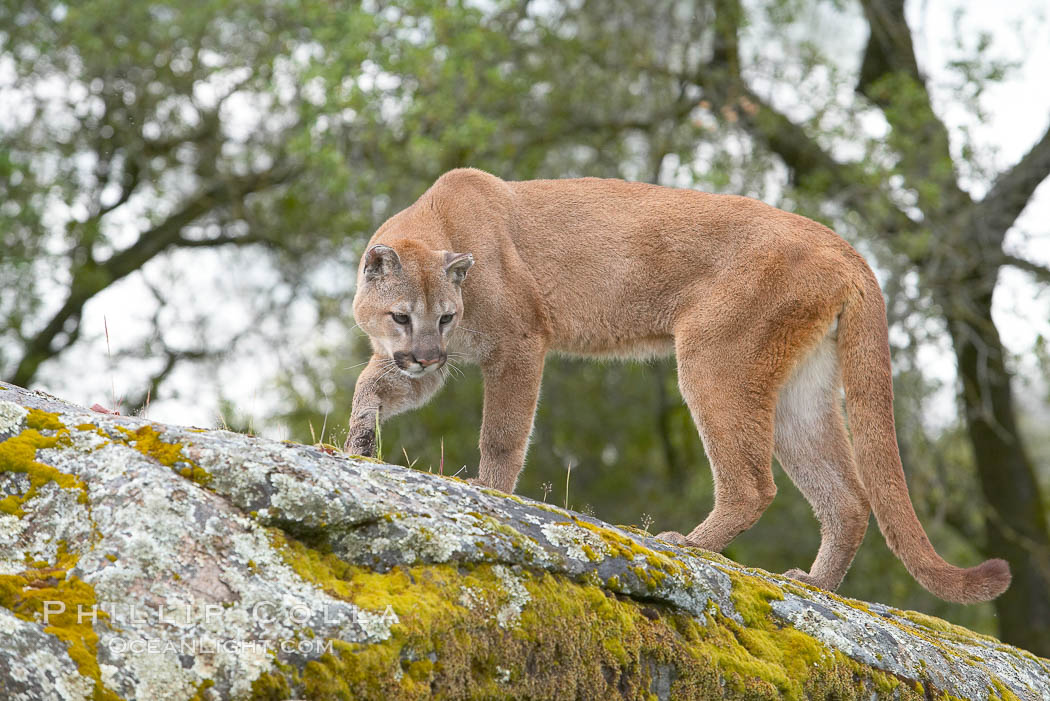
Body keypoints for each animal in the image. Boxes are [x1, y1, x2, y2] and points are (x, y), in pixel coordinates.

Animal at [342, 165, 1007, 604]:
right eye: (402, 317)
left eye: (444, 316)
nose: (426, 354)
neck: (442, 223)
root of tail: (843, 245)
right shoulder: (426, 365)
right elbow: (371, 385)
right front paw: (358, 444)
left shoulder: (520, 343)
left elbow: (503, 434)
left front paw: (490, 493)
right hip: (800, 389)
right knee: (845, 496)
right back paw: (814, 582)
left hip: (714, 356)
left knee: (753, 483)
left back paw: (688, 543)